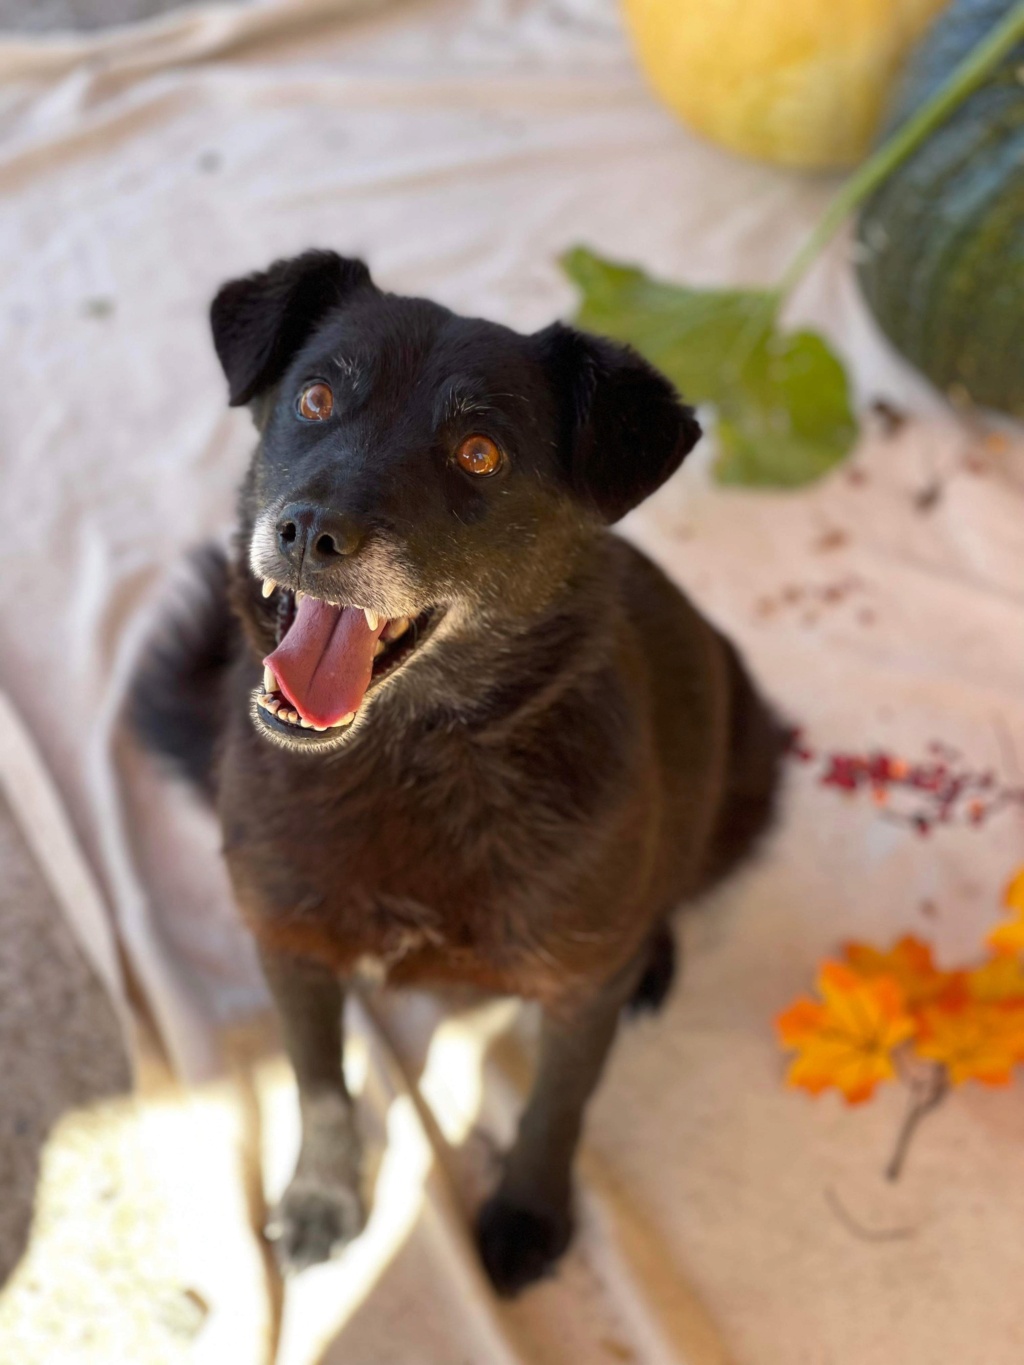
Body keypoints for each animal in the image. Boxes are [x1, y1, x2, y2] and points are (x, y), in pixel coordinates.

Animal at [132, 251, 780, 1294]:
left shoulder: (576, 992)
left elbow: (558, 1107)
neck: (407, 759)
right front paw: (323, 1198)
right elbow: (318, 1082)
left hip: (746, 766)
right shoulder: (289, 943)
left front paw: (528, 1213)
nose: (307, 530)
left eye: (479, 453)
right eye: (314, 397)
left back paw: (654, 954)